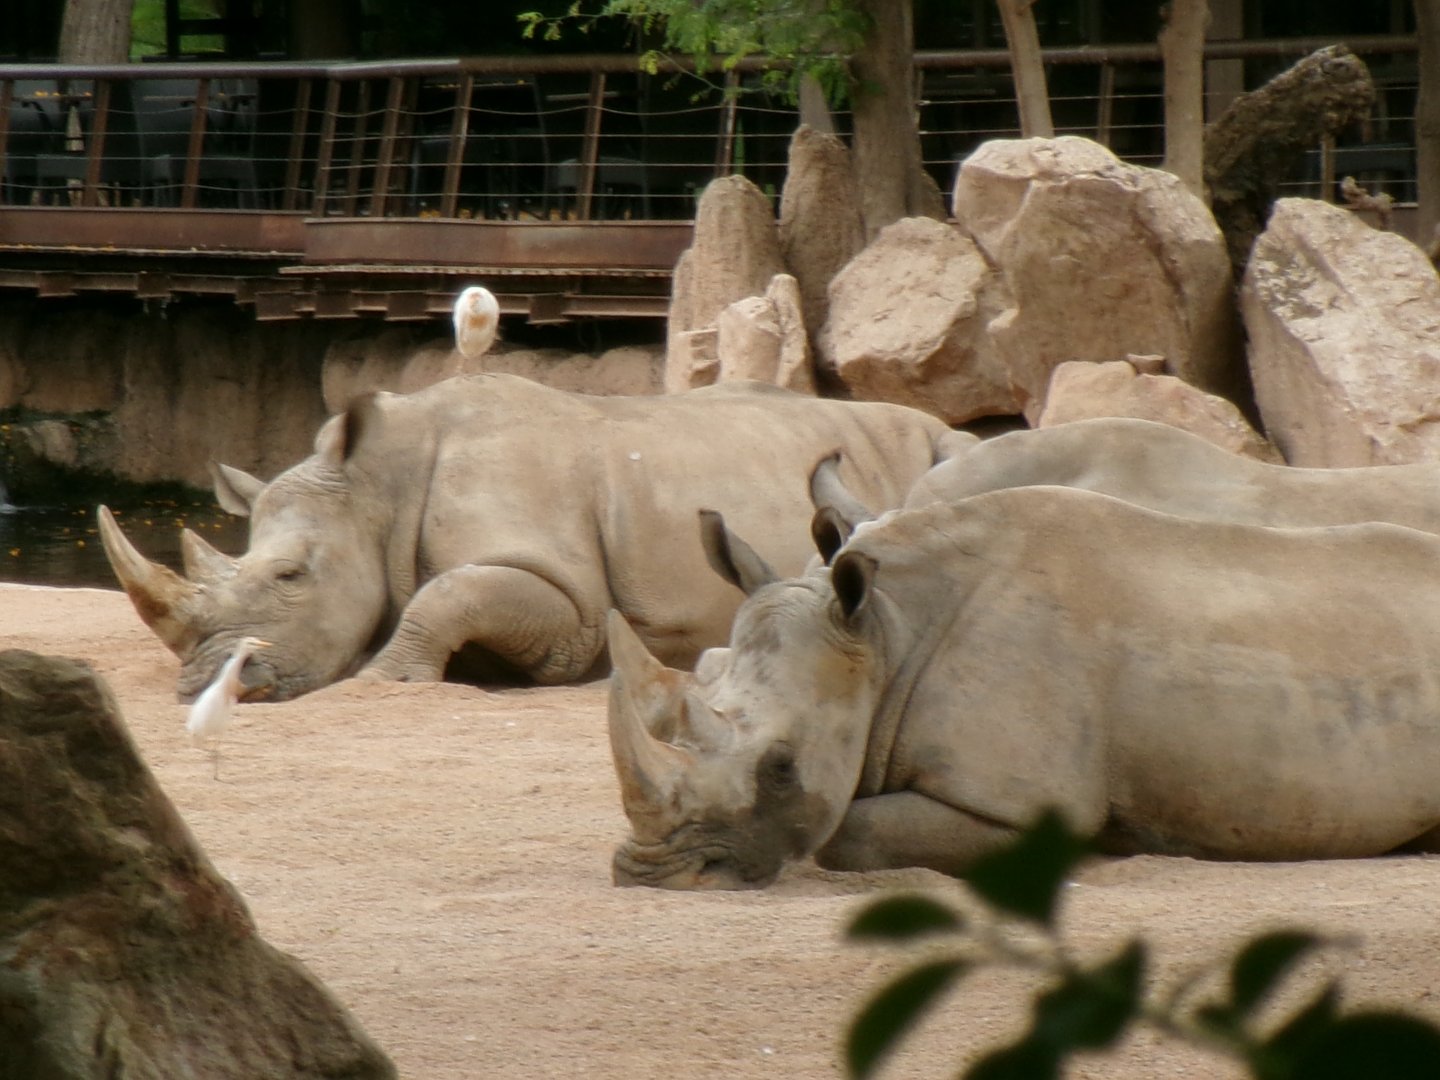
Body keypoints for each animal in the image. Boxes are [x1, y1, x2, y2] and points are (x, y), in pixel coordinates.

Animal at [98, 373, 954, 703]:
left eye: (289, 577)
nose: (202, 683)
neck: (376, 490)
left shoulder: (569, 606)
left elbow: (451, 593)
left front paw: (385, 679)